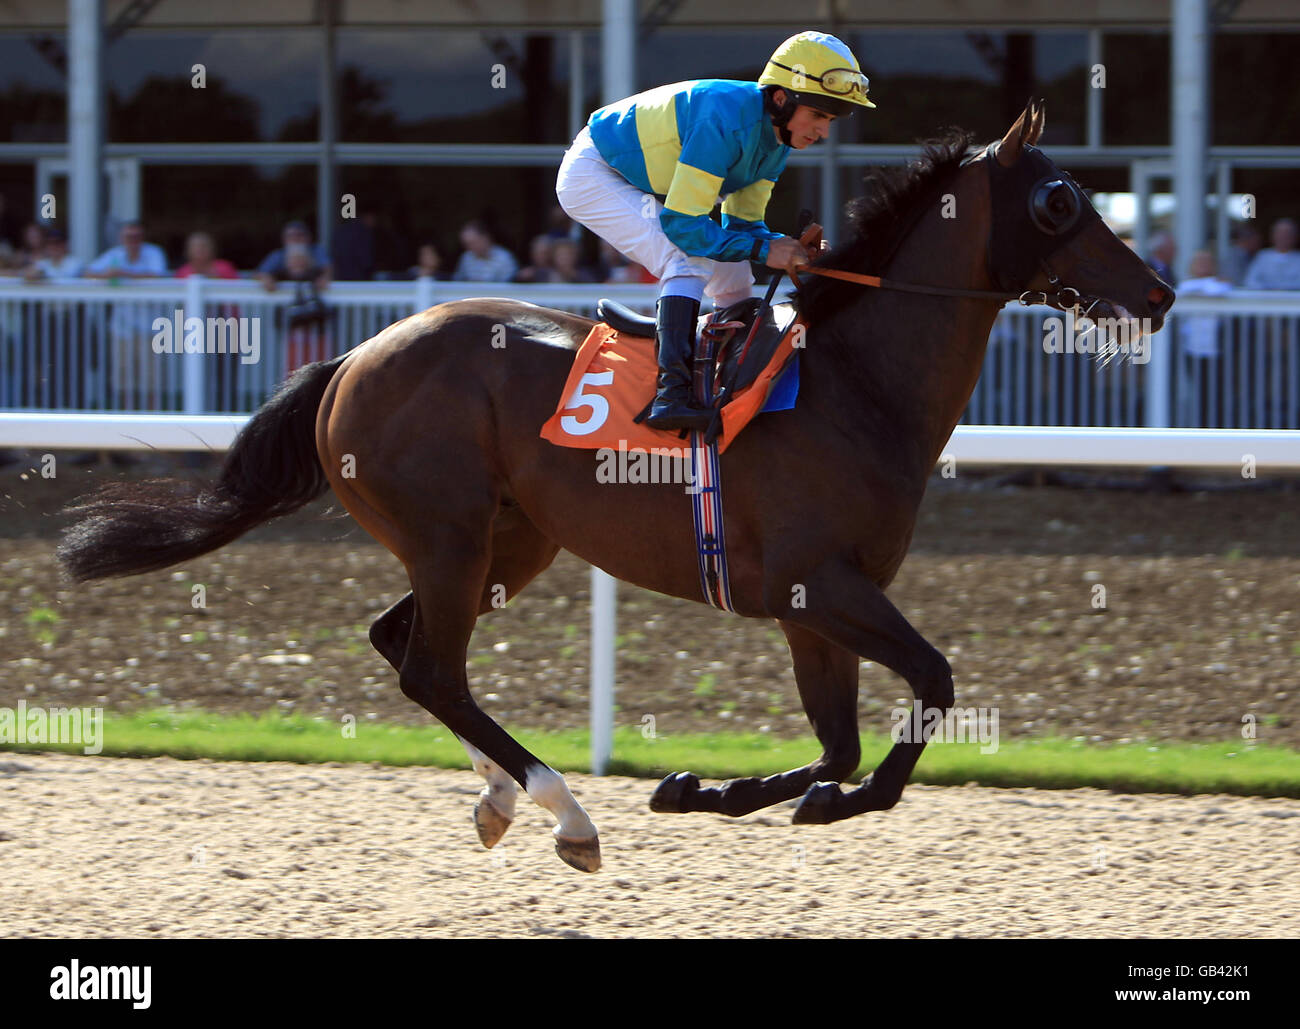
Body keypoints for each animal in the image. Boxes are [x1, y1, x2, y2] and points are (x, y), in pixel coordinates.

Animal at [58, 100, 1180, 873]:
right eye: (1061, 200)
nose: (1161, 292)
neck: (856, 385)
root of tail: (357, 355)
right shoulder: (822, 585)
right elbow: (928, 691)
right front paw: (813, 801)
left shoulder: (813, 606)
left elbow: (835, 742)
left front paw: (709, 787)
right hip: (451, 533)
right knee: (432, 671)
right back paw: (565, 810)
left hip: (510, 540)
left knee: (405, 649)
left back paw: (504, 797)